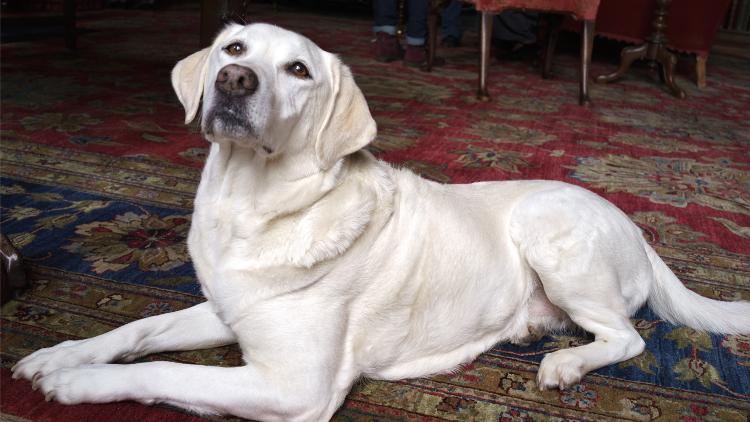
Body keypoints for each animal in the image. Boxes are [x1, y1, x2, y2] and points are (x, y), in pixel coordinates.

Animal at [12, 23, 750, 421]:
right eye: (234, 49)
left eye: (298, 69)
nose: (234, 82)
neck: (252, 206)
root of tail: (637, 228)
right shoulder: (226, 310)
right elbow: (140, 330)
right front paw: (60, 354)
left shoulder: (293, 386)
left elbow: (169, 373)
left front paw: (77, 385)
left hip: (549, 233)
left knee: (627, 337)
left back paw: (566, 364)